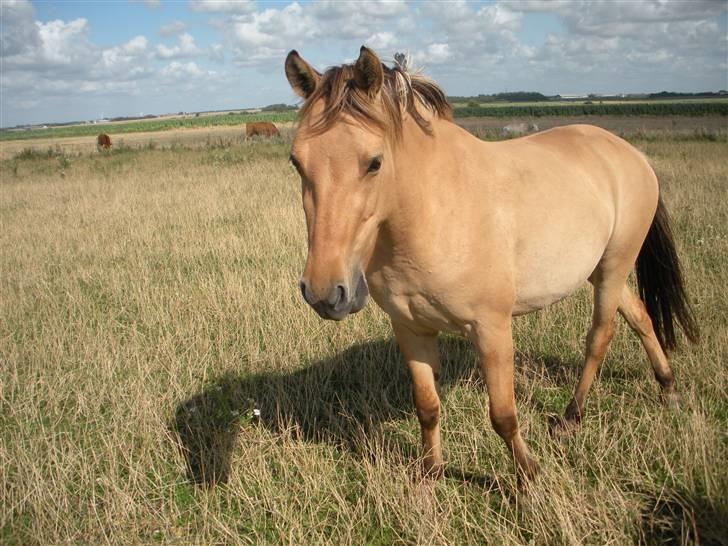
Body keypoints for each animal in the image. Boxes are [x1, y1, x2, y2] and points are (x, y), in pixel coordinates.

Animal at [282, 49, 696, 478]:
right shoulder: (411, 329)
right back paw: (668, 388)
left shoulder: (491, 329)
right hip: (599, 270)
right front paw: (430, 475)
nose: (325, 292)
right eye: (296, 161)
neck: (435, 210)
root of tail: (630, 153)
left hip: (616, 264)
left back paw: (571, 417)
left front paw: (527, 476)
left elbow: (503, 415)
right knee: (641, 317)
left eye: (374, 163)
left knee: (600, 335)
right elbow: (427, 406)